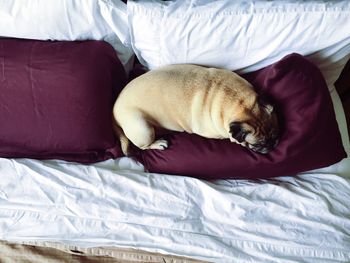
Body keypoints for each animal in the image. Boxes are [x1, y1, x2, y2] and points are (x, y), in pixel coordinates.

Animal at [113, 64, 280, 156]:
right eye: (257, 145)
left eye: (275, 134)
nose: (273, 144)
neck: (236, 100)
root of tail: (113, 114)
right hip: (143, 129)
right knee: (142, 146)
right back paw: (158, 143)